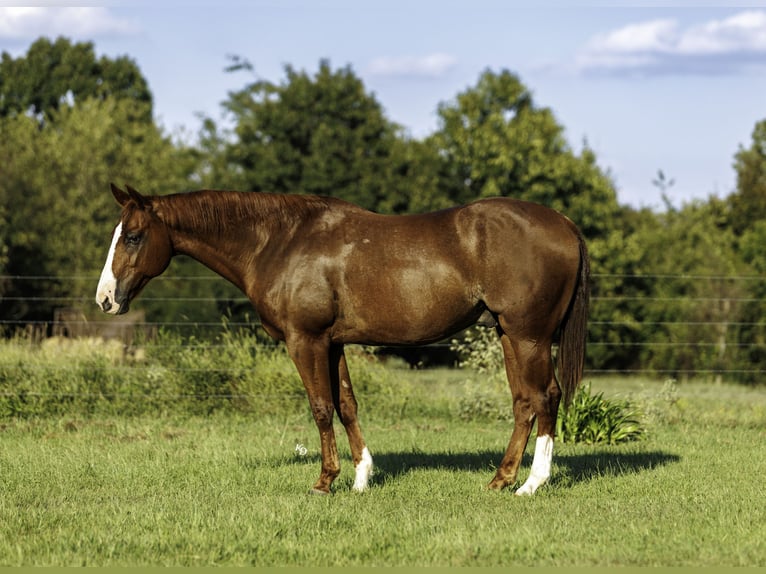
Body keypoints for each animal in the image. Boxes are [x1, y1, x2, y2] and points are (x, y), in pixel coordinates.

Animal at [96, 184, 589, 496]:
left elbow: (320, 407)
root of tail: (564, 222)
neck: (281, 242)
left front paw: (324, 481)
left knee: (545, 397)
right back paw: (501, 479)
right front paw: (361, 478)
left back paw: (532, 484)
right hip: (508, 335)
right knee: (524, 403)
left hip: (528, 336)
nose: (105, 299)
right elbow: (346, 404)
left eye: (134, 236)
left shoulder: (306, 340)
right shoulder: (333, 344)